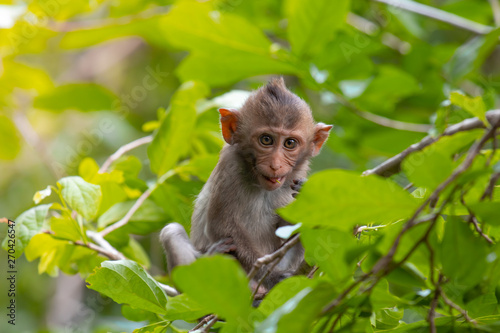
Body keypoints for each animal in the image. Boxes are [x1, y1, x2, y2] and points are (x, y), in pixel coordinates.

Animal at [161, 77, 332, 288]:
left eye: (290, 143)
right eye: (266, 140)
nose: (275, 165)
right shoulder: (230, 167)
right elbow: (222, 226)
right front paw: (273, 277)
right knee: (171, 231)